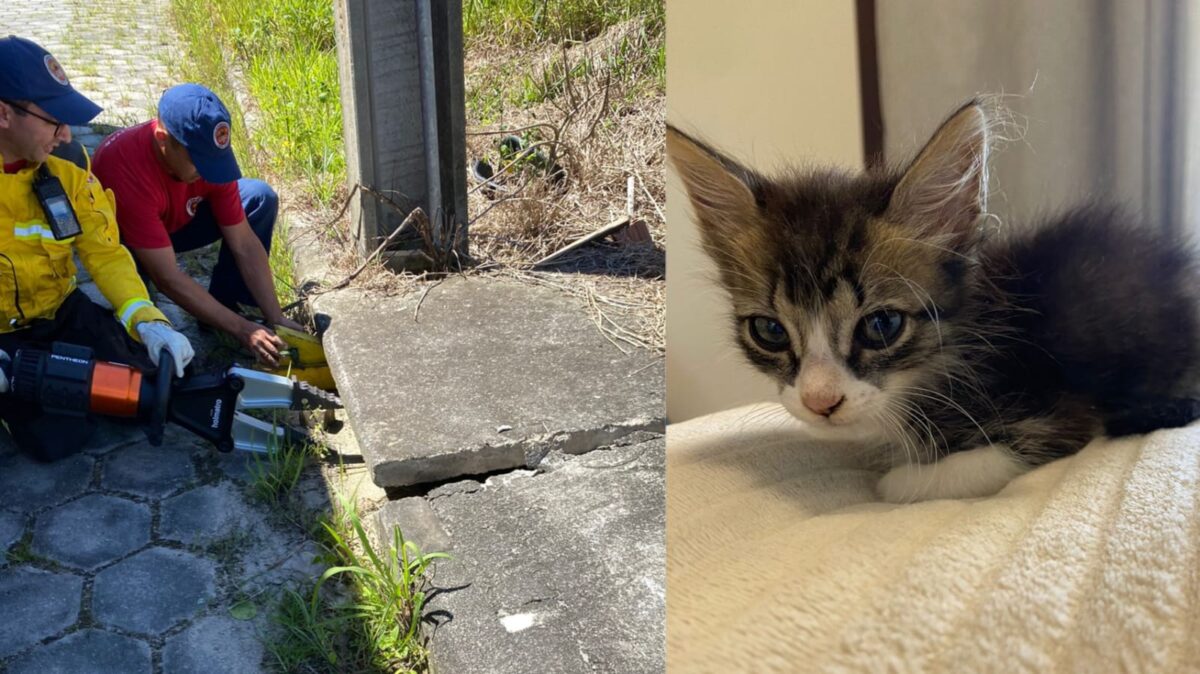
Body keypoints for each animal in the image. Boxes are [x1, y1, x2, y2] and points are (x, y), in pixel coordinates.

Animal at [667, 99, 1200, 498]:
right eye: (770, 331)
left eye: (882, 326)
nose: (821, 402)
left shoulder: (1061, 414)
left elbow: (930, 476)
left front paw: (896, 475)